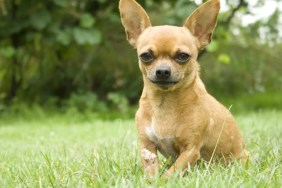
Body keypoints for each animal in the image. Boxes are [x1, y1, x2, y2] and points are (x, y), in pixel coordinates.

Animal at [119, 0, 249, 178]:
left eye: (183, 56)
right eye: (146, 56)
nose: (162, 71)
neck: (164, 102)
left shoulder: (190, 151)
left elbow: (169, 175)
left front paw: (162, 180)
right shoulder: (147, 147)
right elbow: (152, 172)